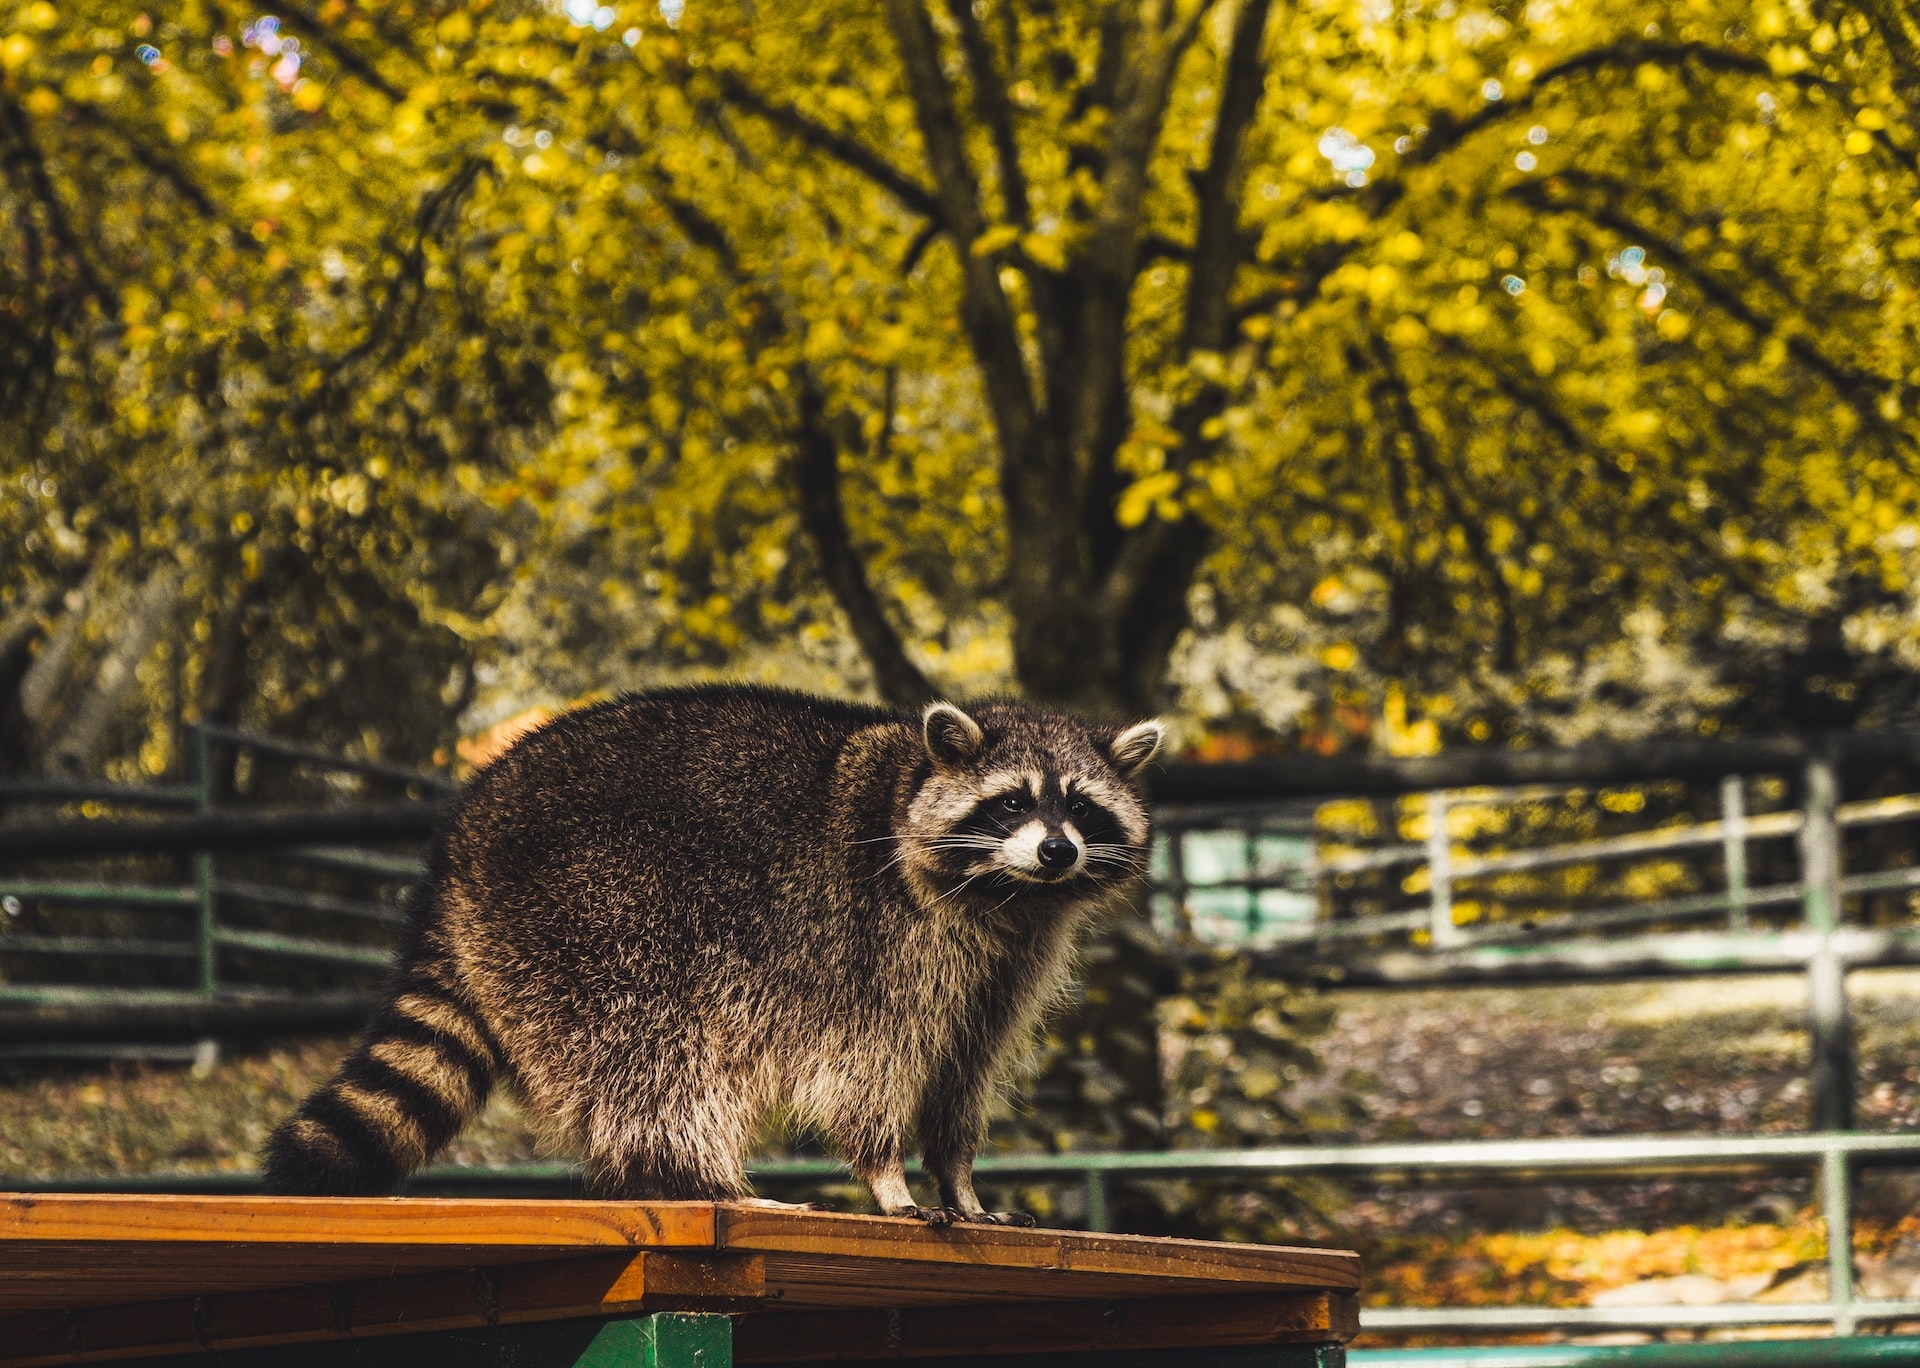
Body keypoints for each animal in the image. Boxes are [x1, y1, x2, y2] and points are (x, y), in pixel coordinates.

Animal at [263, 684, 1159, 1221]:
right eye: (1010, 803)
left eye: (1082, 808)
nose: (1057, 851)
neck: (1008, 896)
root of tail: (459, 841)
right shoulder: (878, 943)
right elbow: (866, 1070)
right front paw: (886, 1173)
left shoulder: (1003, 970)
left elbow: (962, 1073)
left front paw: (960, 1175)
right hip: (591, 916)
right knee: (651, 1058)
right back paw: (700, 1179)